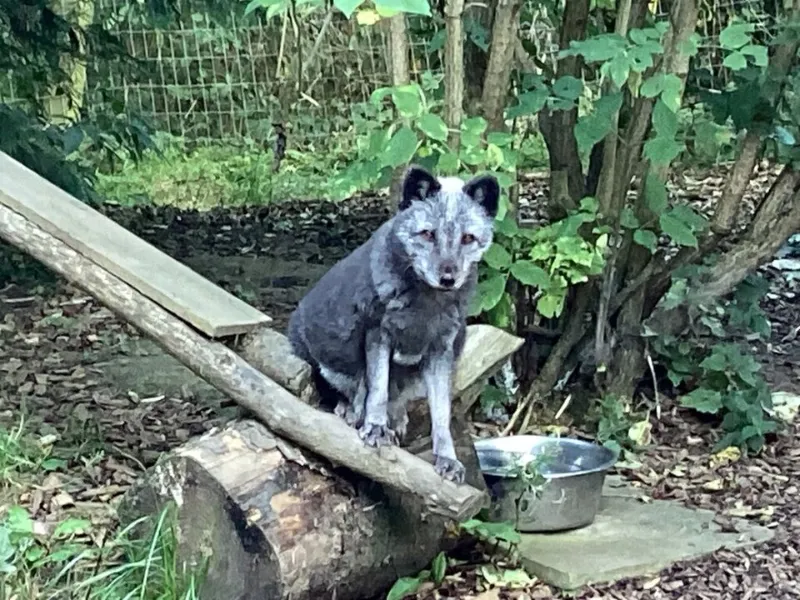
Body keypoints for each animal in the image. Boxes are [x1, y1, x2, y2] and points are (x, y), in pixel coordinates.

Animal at [287, 165, 499, 483]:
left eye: (467, 238)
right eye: (428, 234)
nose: (448, 278)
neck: (424, 309)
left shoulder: (441, 351)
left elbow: (441, 414)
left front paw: (447, 458)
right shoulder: (378, 335)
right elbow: (377, 390)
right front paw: (375, 427)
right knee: (345, 389)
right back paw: (351, 410)